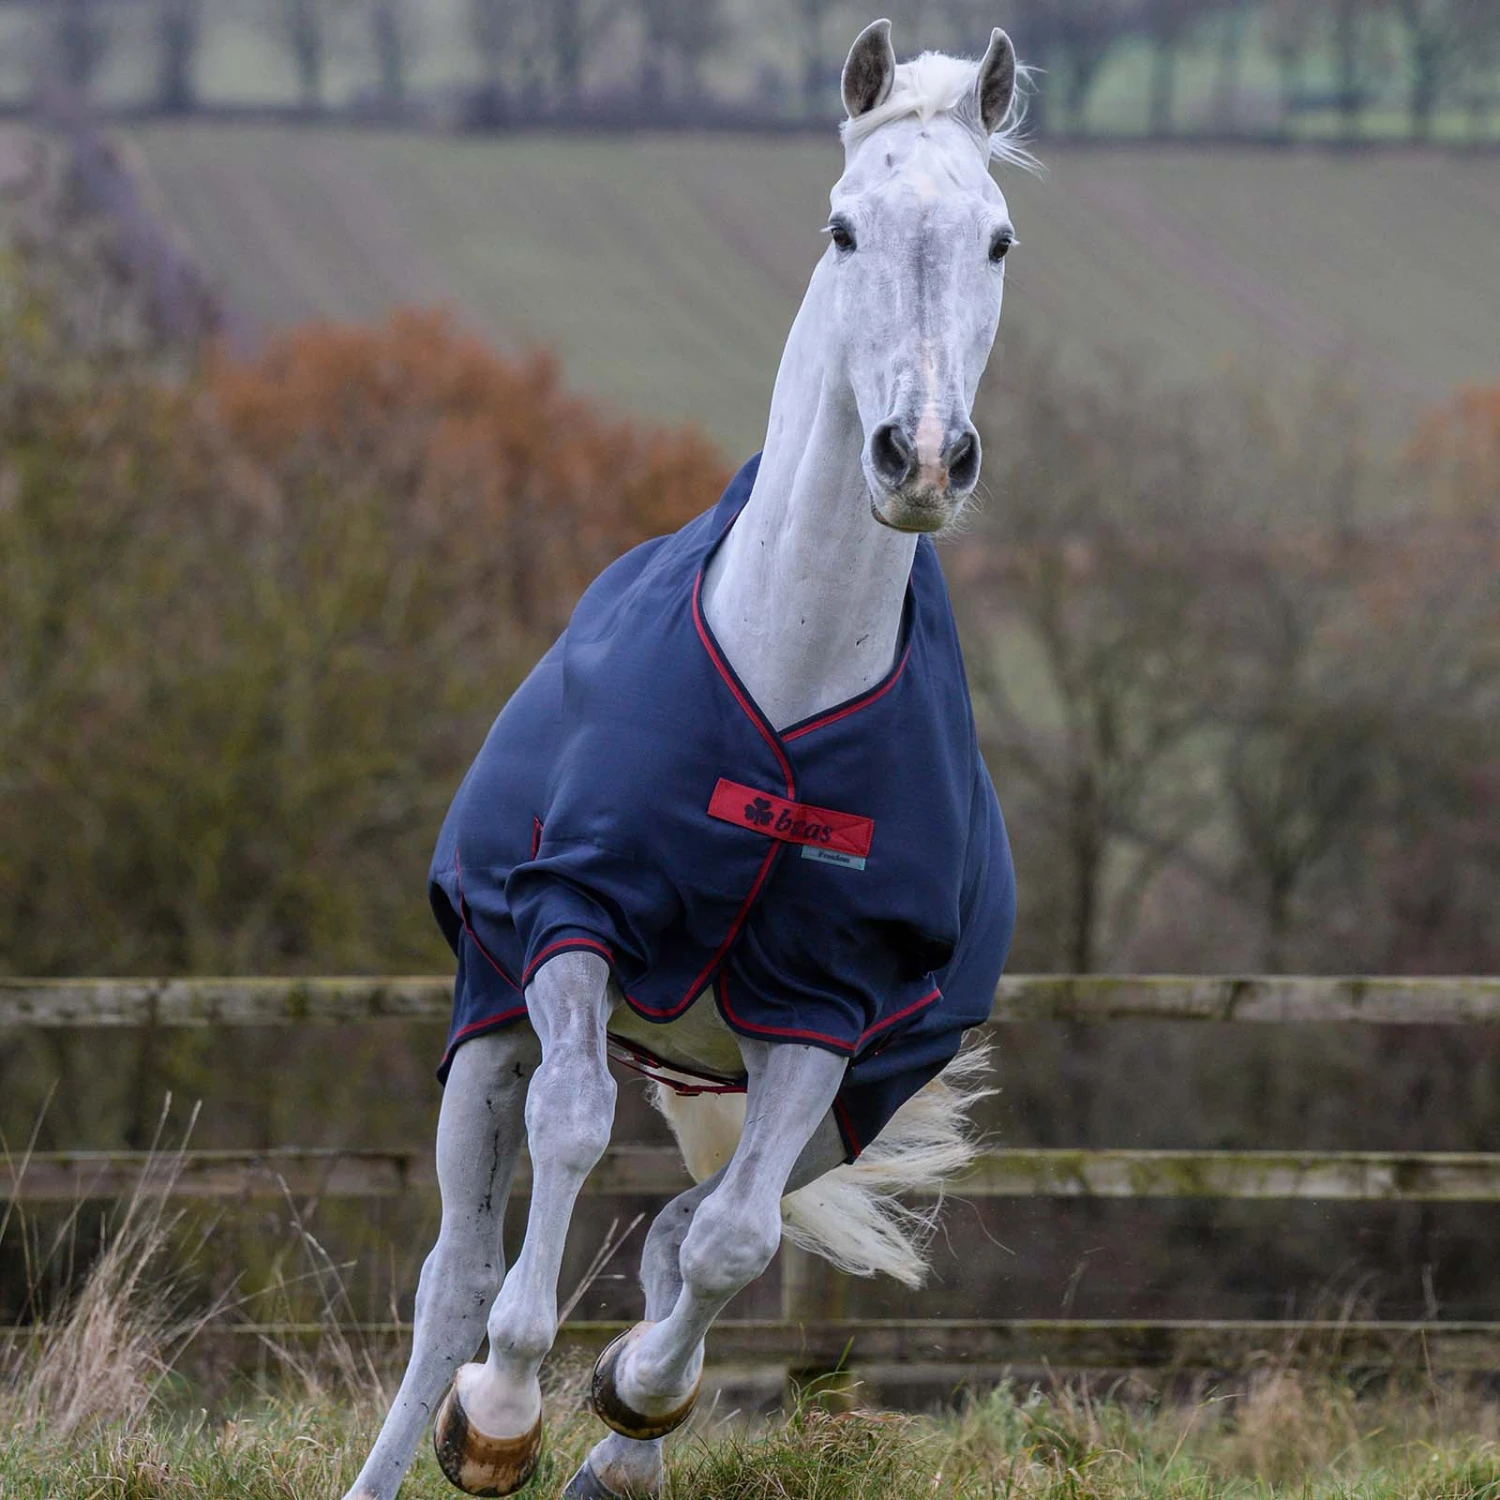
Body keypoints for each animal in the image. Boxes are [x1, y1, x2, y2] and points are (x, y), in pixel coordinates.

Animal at [343, 20, 1030, 1500]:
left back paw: (625, 1444)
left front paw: (627, 1401)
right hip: (487, 1006)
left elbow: (727, 1242)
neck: (793, 662)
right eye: (843, 226)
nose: (922, 457)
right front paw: (502, 1409)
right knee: (455, 1271)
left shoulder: (830, 1008)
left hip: (824, 1081)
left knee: (689, 1232)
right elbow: (572, 1129)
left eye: (999, 240)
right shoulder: (571, 922)